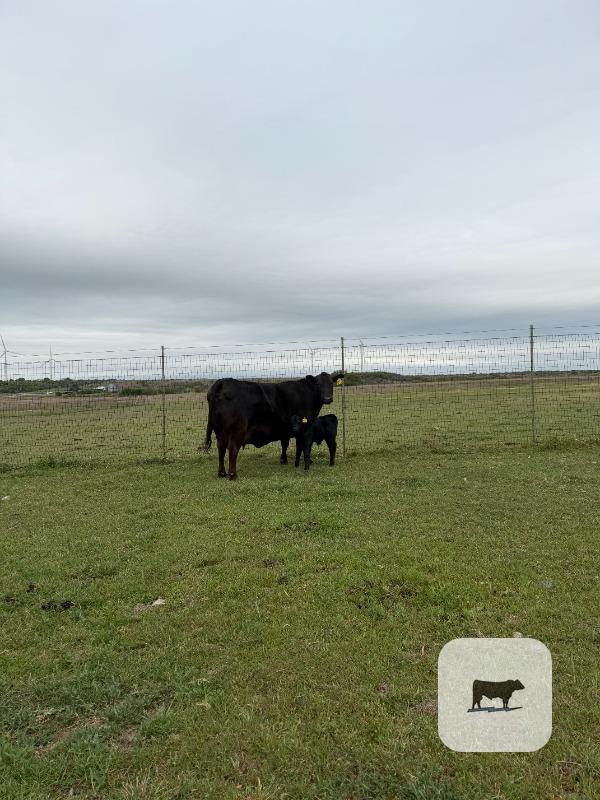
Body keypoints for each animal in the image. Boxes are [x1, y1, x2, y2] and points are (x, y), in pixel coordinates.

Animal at [204, 372, 342, 479]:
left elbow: (285, 444)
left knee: (221, 449)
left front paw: (284, 460)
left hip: (220, 432)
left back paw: (221, 473)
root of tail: (224, 381)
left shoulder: (285, 428)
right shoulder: (304, 430)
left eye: (331, 384)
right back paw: (233, 474)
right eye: (318, 384)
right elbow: (303, 446)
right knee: (233, 449)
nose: (327, 398)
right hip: (237, 431)